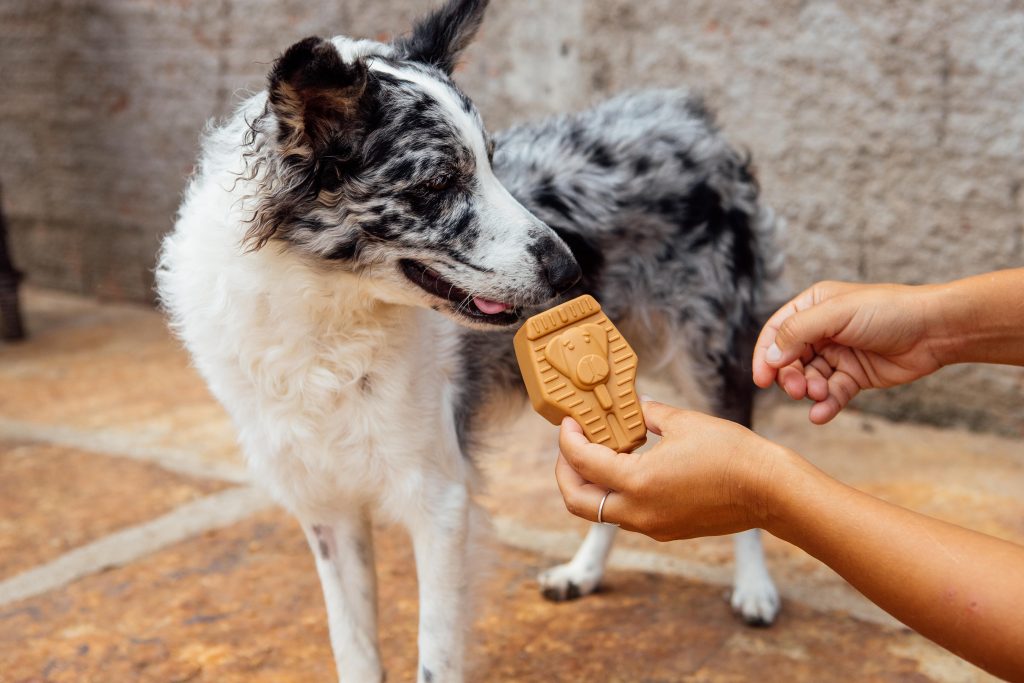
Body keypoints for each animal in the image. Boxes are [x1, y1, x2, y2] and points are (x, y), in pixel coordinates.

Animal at [157, 2, 782, 679]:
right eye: (436, 185)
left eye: (492, 163)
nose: (570, 270)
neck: (325, 327)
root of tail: (686, 115)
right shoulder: (326, 508)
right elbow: (354, 646)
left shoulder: (439, 501)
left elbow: (435, 652)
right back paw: (583, 572)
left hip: (709, 353)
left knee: (739, 446)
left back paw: (753, 588)